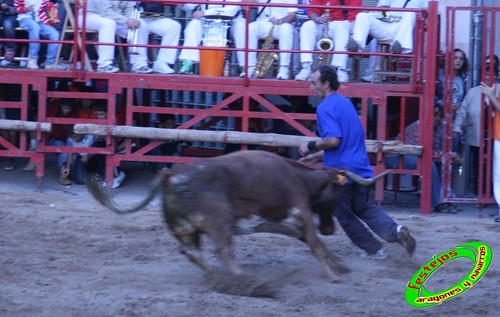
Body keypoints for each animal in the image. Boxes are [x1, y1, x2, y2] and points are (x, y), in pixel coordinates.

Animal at [86, 149, 388, 278]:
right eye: (336, 193)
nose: (330, 228)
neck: (298, 177)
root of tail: (171, 175)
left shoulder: (283, 222)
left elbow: (317, 244)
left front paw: (340, 266)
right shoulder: (301, 212)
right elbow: (315, 244)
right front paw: (334, 274)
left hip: (185, 229)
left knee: (192, 252)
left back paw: (219, 277)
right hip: (217, 222)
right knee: (223, 250)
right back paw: (243, 279)